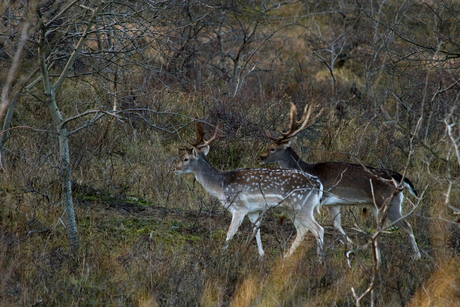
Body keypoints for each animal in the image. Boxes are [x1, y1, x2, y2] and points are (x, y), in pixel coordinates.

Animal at [174, 122, 326, 260]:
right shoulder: (253, 210)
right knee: (302, 230)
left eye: (185, 158)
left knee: (318, 229)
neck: (220, 185)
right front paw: (261, 256)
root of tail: (318, 184)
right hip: (291, 209)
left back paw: (319, 261)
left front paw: (220, 255)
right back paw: (285, 259)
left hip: (302, 206)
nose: (175, 168)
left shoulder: (239, 207)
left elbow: (230, 232)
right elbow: (256, 230)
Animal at [258, 103, 420, 260]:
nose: (260, 157)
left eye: (272, 148)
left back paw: (417, 257)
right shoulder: (333, 203)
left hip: (389, 202)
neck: (306, 168)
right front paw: (352, 245)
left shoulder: (319, 200)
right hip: (376, 205)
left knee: (407, 226)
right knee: (381, 227)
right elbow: (337, 225)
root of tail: (401, 179)